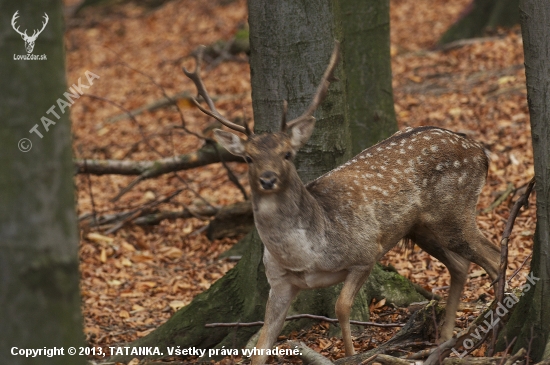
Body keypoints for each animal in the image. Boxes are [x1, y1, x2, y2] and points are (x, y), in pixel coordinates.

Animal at [184, 44, 500, 362]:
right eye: (249, 157)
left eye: (287, 153)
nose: (268, 179)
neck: (306, 255)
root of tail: (480, 152)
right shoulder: (279, 282)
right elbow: (262, 345)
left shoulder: (365, 253)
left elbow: (341, 308)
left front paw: (351, 354)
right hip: (422, 228)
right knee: (460, 265)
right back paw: (445, 339)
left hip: (456, 210)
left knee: (494, 256)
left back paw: (493, 329)